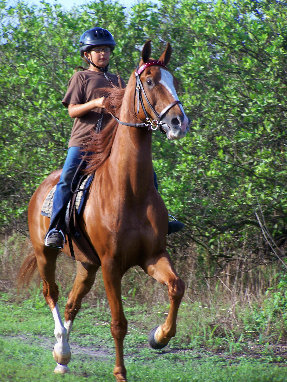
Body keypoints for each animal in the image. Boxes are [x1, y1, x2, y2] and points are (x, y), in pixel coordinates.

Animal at [17, 41, 189, 382]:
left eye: (173, 80)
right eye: (150, 81)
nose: (179, 122)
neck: (129, 190)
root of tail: (43, 185)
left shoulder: (153, 256)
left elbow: (176, 287)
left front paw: (159, 337)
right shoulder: (112, 266)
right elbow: (118, 323)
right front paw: (120, 372)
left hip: (87, 264)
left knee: (72, 302)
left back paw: (63, 358)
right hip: (46, 254)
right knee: (52, 294)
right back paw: (61, 349)